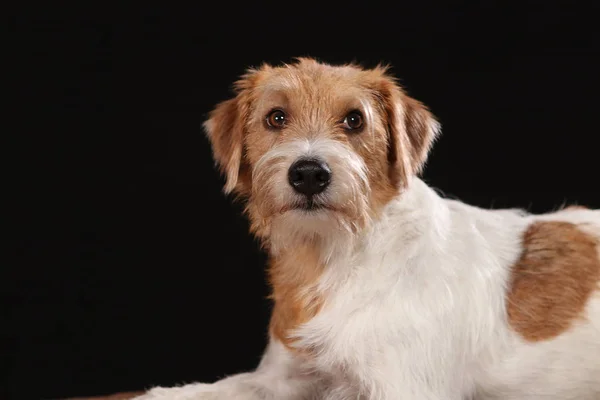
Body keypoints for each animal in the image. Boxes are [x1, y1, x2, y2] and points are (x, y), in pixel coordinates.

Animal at [136, 57, 600, 398]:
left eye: (355, 120)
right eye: (276, 117)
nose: (309, 174)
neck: (335, 257)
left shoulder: (404, 387)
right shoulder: (279, 380)